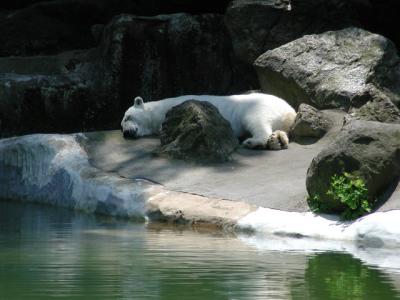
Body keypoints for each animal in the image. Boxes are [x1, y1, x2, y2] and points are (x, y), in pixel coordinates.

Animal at [122, 92, 296, 149]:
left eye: (128, 117)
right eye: (122, 126)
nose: (126, 133)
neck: (158, 110)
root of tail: (289, 110)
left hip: (256, 107)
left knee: (255, 121)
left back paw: (252, 142)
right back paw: (277, 140)